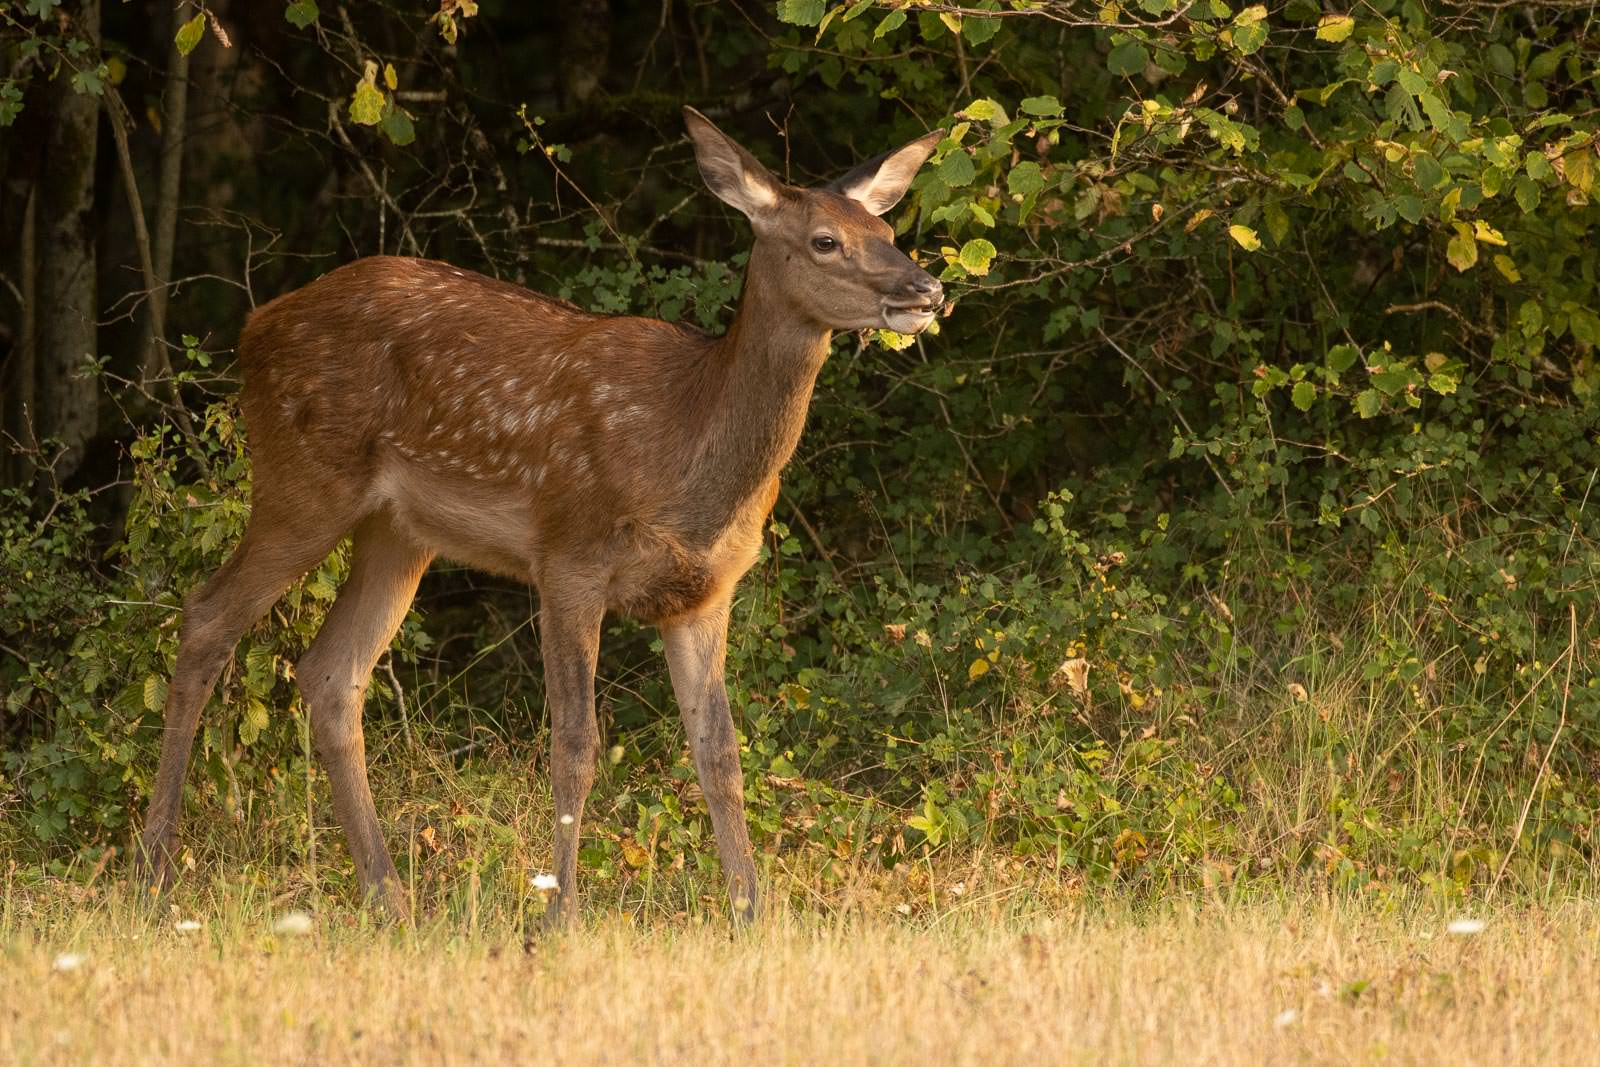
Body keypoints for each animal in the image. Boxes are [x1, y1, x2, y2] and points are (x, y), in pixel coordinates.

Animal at [134, 107, 946, 925]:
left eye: (887, 229)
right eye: (825, 240)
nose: (927, 288)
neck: (688, 455)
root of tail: (253, 327)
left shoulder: (707, 590)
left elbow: (720, 751)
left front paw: (752, 911)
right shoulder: (568, 555)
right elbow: (575, 745)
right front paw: (560, 914)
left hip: (397, 533)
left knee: (332, 673)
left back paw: (388, 894)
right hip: (299, 480)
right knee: (207, 617)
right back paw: (157, 869)